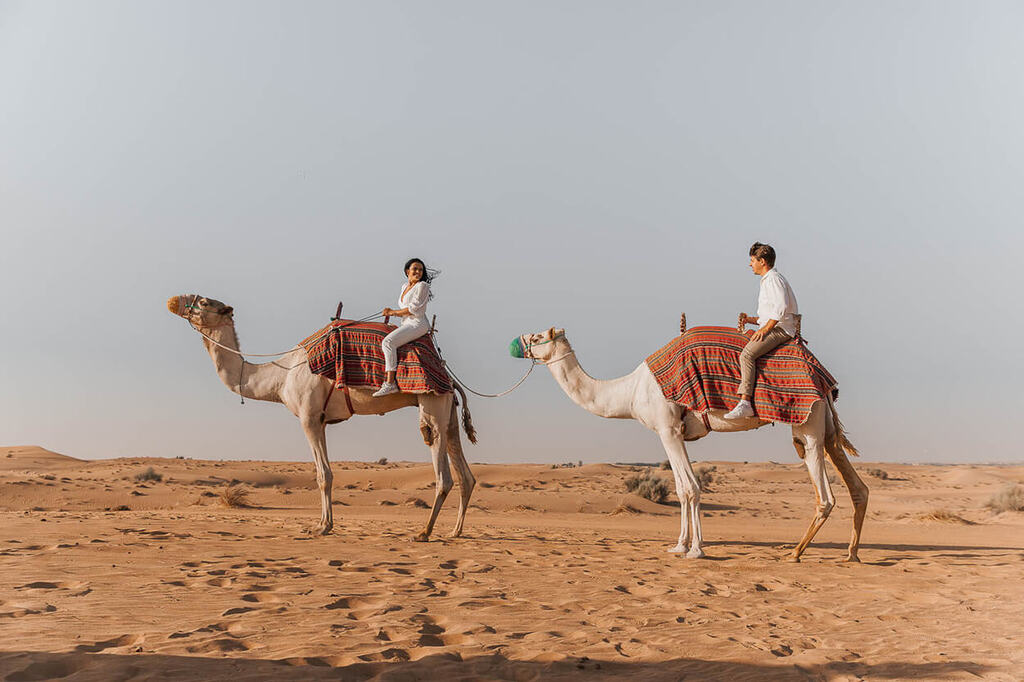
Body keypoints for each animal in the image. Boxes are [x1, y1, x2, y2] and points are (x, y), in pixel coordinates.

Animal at [165, 294, 477, 540]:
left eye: (204, 302)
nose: (173, 301)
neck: (280, 377)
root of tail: (448, 375)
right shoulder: (323, 420)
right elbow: (324, 473)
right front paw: (324, 524)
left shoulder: (309, 417)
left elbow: (323, 474)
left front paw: (322, 527)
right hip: (448, 411)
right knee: (465, 475)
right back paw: (455, 531)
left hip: (431, 401)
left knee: (441, 468)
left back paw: (424, 532)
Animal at [512, 327, 864, 561]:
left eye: (537, 336)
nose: (517, 342)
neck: (630, 391)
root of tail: (823, 377)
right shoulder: (676, 432)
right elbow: (683, 488)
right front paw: (679, 544)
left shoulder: (667, 428)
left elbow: (690, 488)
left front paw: (695, 549)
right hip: (825, 426)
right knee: (857, 486)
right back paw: (851, 552)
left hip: (807, 422)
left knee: (825, 495)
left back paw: (795, 552)